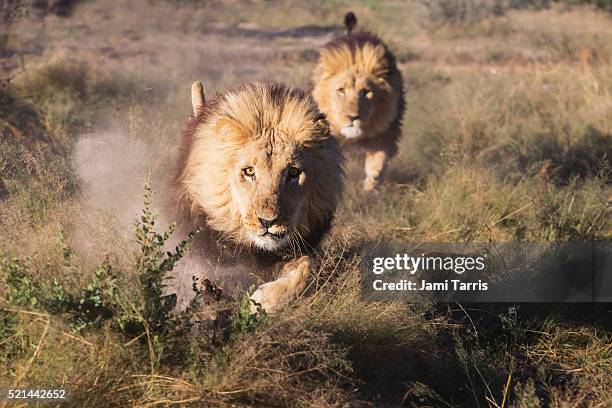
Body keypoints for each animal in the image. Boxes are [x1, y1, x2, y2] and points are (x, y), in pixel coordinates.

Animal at [314, 10, 404, 193]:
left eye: (366, 92)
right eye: (341, 90)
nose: (353, 117)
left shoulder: (386, 131)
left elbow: (378, 163)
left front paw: (370, 188)